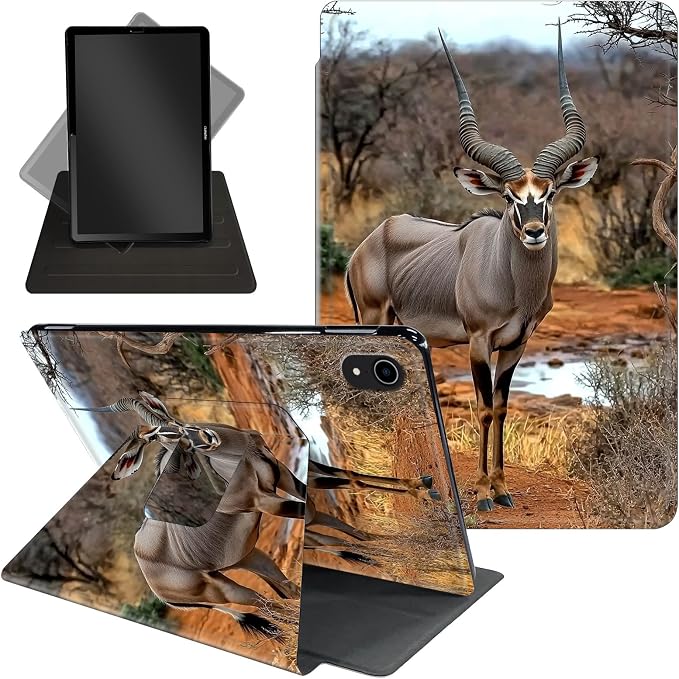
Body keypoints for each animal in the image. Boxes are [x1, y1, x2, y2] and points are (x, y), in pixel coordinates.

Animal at [345, 23, 598, 512]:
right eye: (510, 196)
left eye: (550, 192)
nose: (535, 232)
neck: (514, 283)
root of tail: (371, 240)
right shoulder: (479, 342)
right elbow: (481, 407)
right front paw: (481, 492)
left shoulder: (516, 344)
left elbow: (500, 406)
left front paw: (501, 489)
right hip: (372, 319)